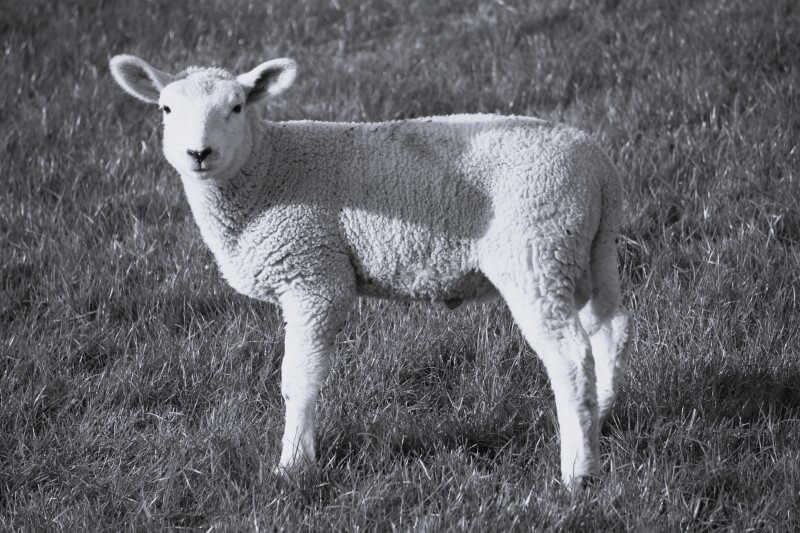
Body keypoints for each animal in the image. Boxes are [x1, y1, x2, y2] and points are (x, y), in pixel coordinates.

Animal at [109, 54, 632, 489]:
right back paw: (600, 418)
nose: (199, 153)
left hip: (534, 249)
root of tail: (598, 165)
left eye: (236, 107)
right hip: (588, 252)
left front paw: (292, 465)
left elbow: (298, 379)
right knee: (608, 331)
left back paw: (577, 472)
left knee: (569, 356)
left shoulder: (314, 274)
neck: (268, 168)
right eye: (166, 109)